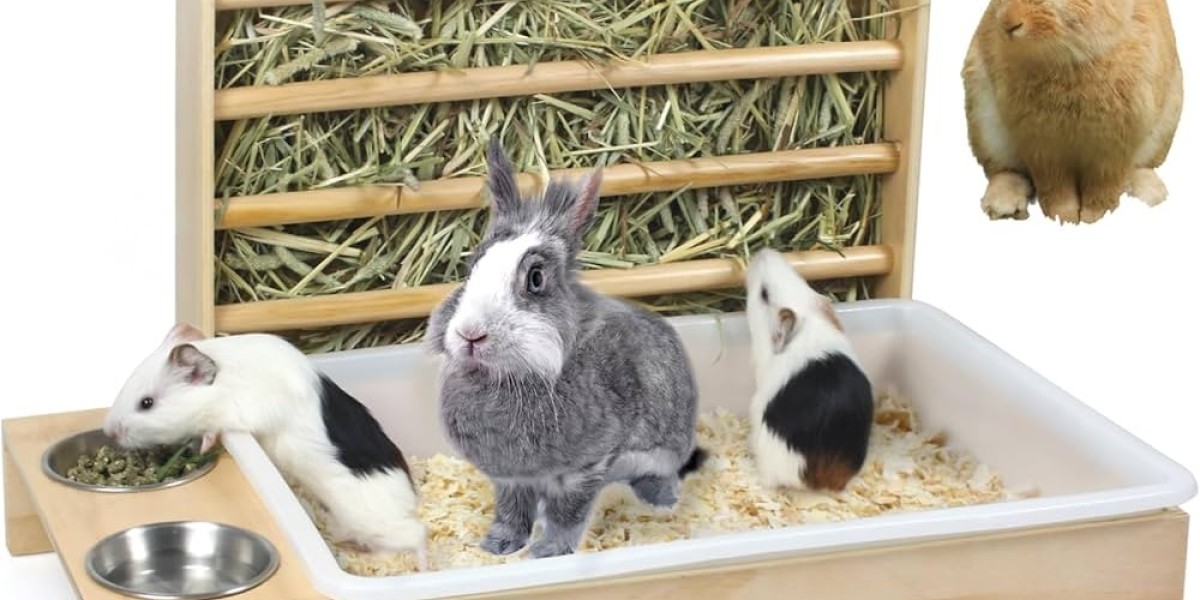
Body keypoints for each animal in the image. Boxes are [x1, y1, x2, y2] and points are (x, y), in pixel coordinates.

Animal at [103, 323, 428, 568]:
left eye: (146, 403)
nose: (110, 432)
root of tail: (411, 501)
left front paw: (206, 442)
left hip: (376, 525)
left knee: (415, 538)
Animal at [425, 139, 706, 559]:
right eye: (472, 267)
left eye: (536, 278)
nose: (470, 334)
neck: (514, 377)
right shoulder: (511, 479)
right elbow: (510, 511)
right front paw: (498, 545)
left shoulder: (585, 469)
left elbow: (567, 513)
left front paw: (547, 551)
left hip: (661, 451)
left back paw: (661, 501)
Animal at [963, 0, 1183, 224]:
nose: (1008, 22)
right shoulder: (1041, 146)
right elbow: (1056, 187)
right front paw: (1065, 217)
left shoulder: (1115, 147)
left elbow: (1102, 187)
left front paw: (1092, 217)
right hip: (985, 126)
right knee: (1005, 170)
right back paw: (1004, 205)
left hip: (1163, 131)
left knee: (1141, 168)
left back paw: (1151, 193)